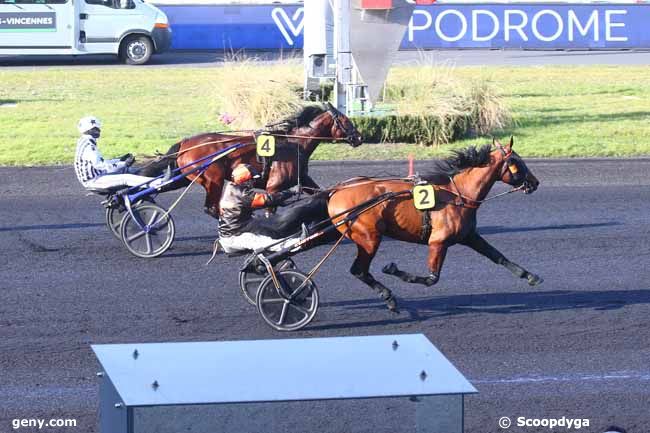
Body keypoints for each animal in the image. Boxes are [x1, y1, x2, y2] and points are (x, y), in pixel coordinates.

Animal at [140, 101, 362, 216]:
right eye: (345, 121)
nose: (359, 137)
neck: (294, 143)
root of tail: (185, 144)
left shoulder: (304, 179)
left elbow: (322, 192)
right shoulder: (274, 187)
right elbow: (270, 207)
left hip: (187, 178)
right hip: (214, 179)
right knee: (212, 208)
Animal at [324, 138, 540, 310]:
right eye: (517, 162)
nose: (535, 182)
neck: (459, 194)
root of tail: (337, 191)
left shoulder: (469, 236)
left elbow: (498, 256)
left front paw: (530, 276)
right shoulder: (438, 241)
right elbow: (431, 278)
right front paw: (393, 270)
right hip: (369, 238)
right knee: (358, 270)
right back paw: (388, 297)